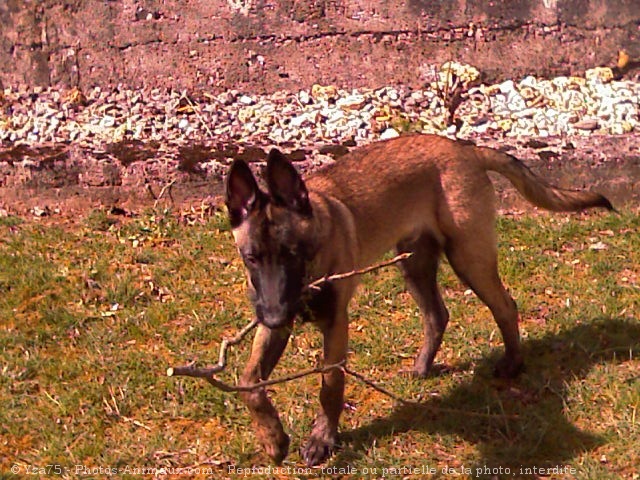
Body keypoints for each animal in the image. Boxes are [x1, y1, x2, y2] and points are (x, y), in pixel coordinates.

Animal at [222, 134, 612, 464]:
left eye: (293, 254)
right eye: (251, 258)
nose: (275, 314)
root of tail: (465, 150)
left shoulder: (334, 323)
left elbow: (330, 385)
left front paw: (322, 439)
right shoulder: (274, 325)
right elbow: (248, 382)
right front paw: (273, 439)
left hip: (468, 258)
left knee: (505, 306)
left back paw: (512, 364)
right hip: (414, 265)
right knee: (438, 315)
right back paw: (423, 367)